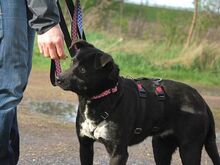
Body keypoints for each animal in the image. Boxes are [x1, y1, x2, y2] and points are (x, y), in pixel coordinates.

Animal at [57, 40, 220, 165]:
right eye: (72, 63)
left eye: (83, 70)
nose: (58, 78)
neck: (103, 98)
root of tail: (201, 99)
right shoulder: (85, 146)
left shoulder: (118, 152)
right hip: (161, 147)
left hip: (189, 149)